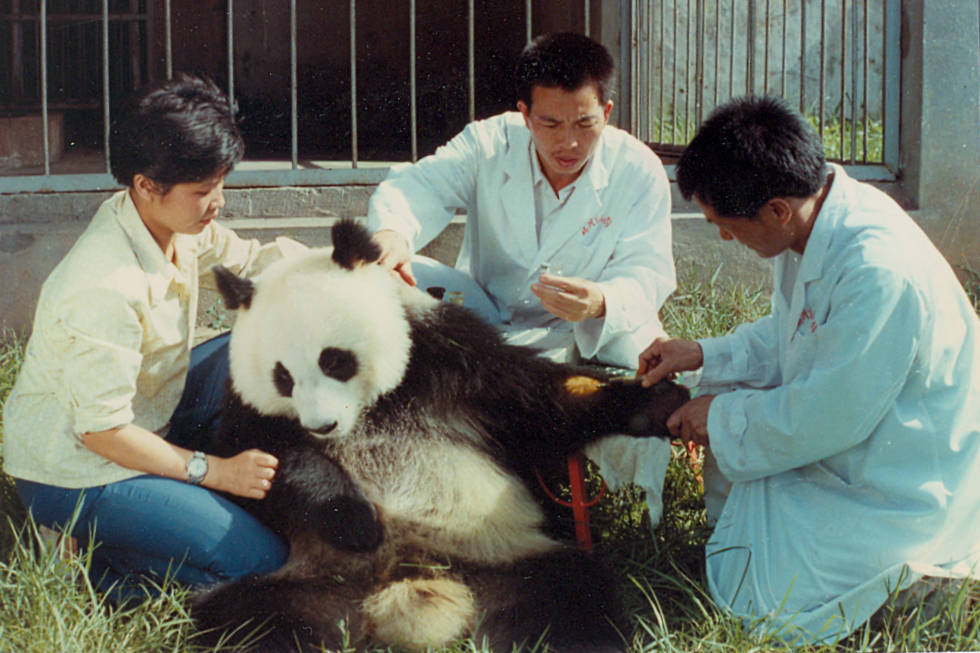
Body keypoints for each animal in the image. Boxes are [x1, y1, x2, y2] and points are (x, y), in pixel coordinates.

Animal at [193, 220, 688, 652]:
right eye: (283, 377)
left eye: (334, 360)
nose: (322, 426)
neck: (371, 409)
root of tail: (416, 580)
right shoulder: (247, 405)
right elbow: (256, 465)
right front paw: (356, 521)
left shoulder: (448, 351)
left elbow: (540, 404)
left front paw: (658, 401)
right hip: (312, 579)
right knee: (252, 620)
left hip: (505, 555)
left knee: (570, 601)